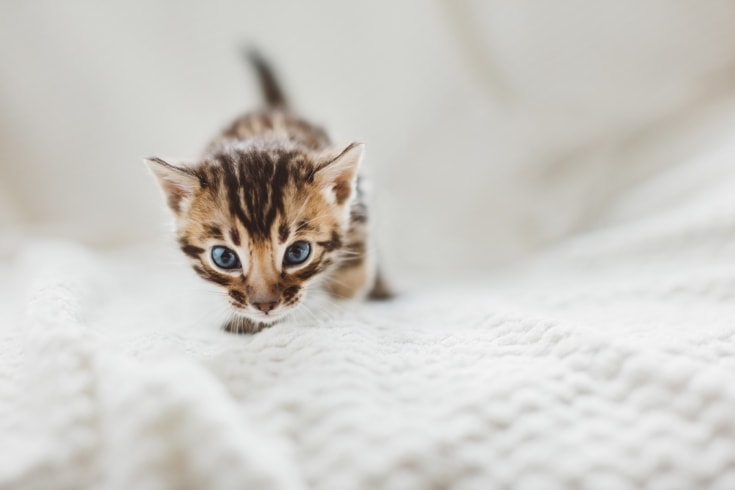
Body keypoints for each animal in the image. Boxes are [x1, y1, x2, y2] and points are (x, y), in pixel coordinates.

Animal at [145, 52, 392, 334]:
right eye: (224, 257)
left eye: (298, 252)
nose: (265, 305)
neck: (263, 136)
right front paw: (247, 322)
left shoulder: (358, 209)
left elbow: (352, 276)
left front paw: (340, 304)